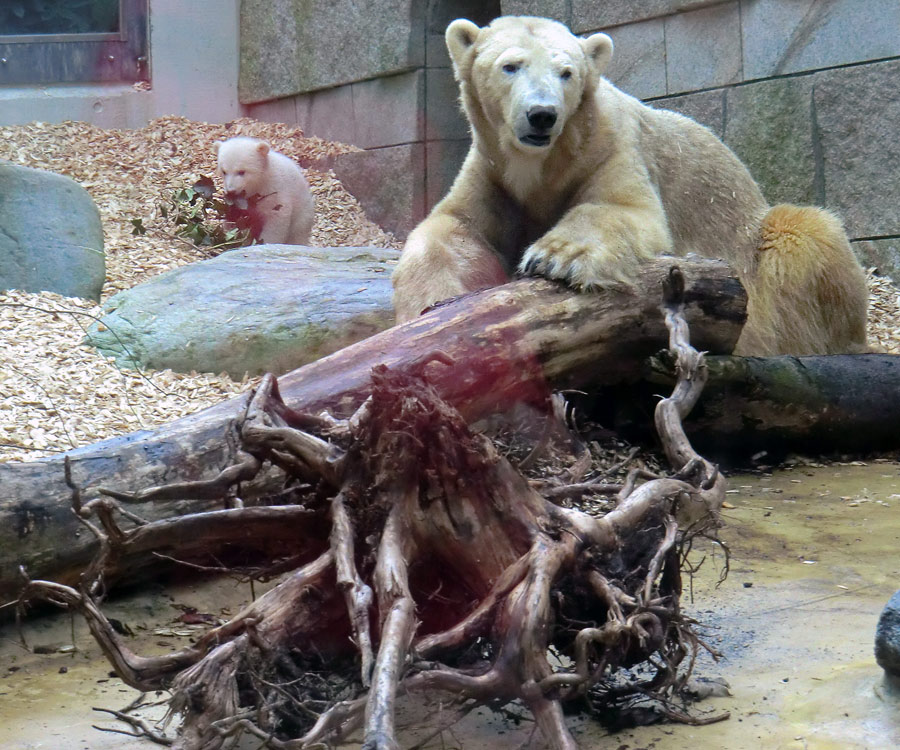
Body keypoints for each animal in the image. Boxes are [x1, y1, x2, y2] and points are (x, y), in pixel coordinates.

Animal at [390, 16, 868, 356]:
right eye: (510, 66)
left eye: (566, 72)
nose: (542, 115)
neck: (541, 164)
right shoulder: (493, 174)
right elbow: (453, 227)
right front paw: (429, 307)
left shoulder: (610, 146)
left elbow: (625, 208)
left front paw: (556, 256)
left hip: (760, 244)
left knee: (805, 235)